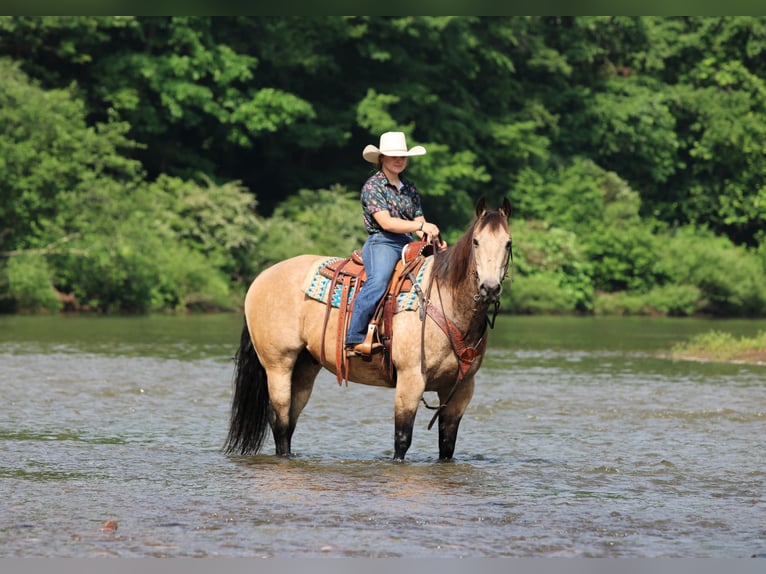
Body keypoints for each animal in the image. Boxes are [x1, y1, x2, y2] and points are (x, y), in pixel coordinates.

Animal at [225, 197, 512, 461]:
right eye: (476, 242)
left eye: (508, 243)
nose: (489, 288)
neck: (446, 302)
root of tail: (259, 279)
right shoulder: (410, 380)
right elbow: (402, 439)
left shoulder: (461, 390)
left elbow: (447, 445)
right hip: (277, 365)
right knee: (280, 422)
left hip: (305, 367)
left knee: (290, 420)